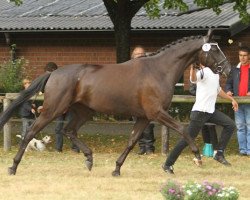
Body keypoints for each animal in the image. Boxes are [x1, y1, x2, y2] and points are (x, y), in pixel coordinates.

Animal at [0, 29, 230, 175]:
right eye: (214, 49)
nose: (226, 68)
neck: (158, 70)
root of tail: (53, 73)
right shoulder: (156, 113)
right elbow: (183, 130)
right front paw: (197, 157)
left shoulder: (144, 117)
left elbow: (131, 141)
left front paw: (117, 169)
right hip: (53, 110)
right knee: (31, 133)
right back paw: (13, 167)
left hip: (84, 111)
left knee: (69, 131)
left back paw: (89, 159)